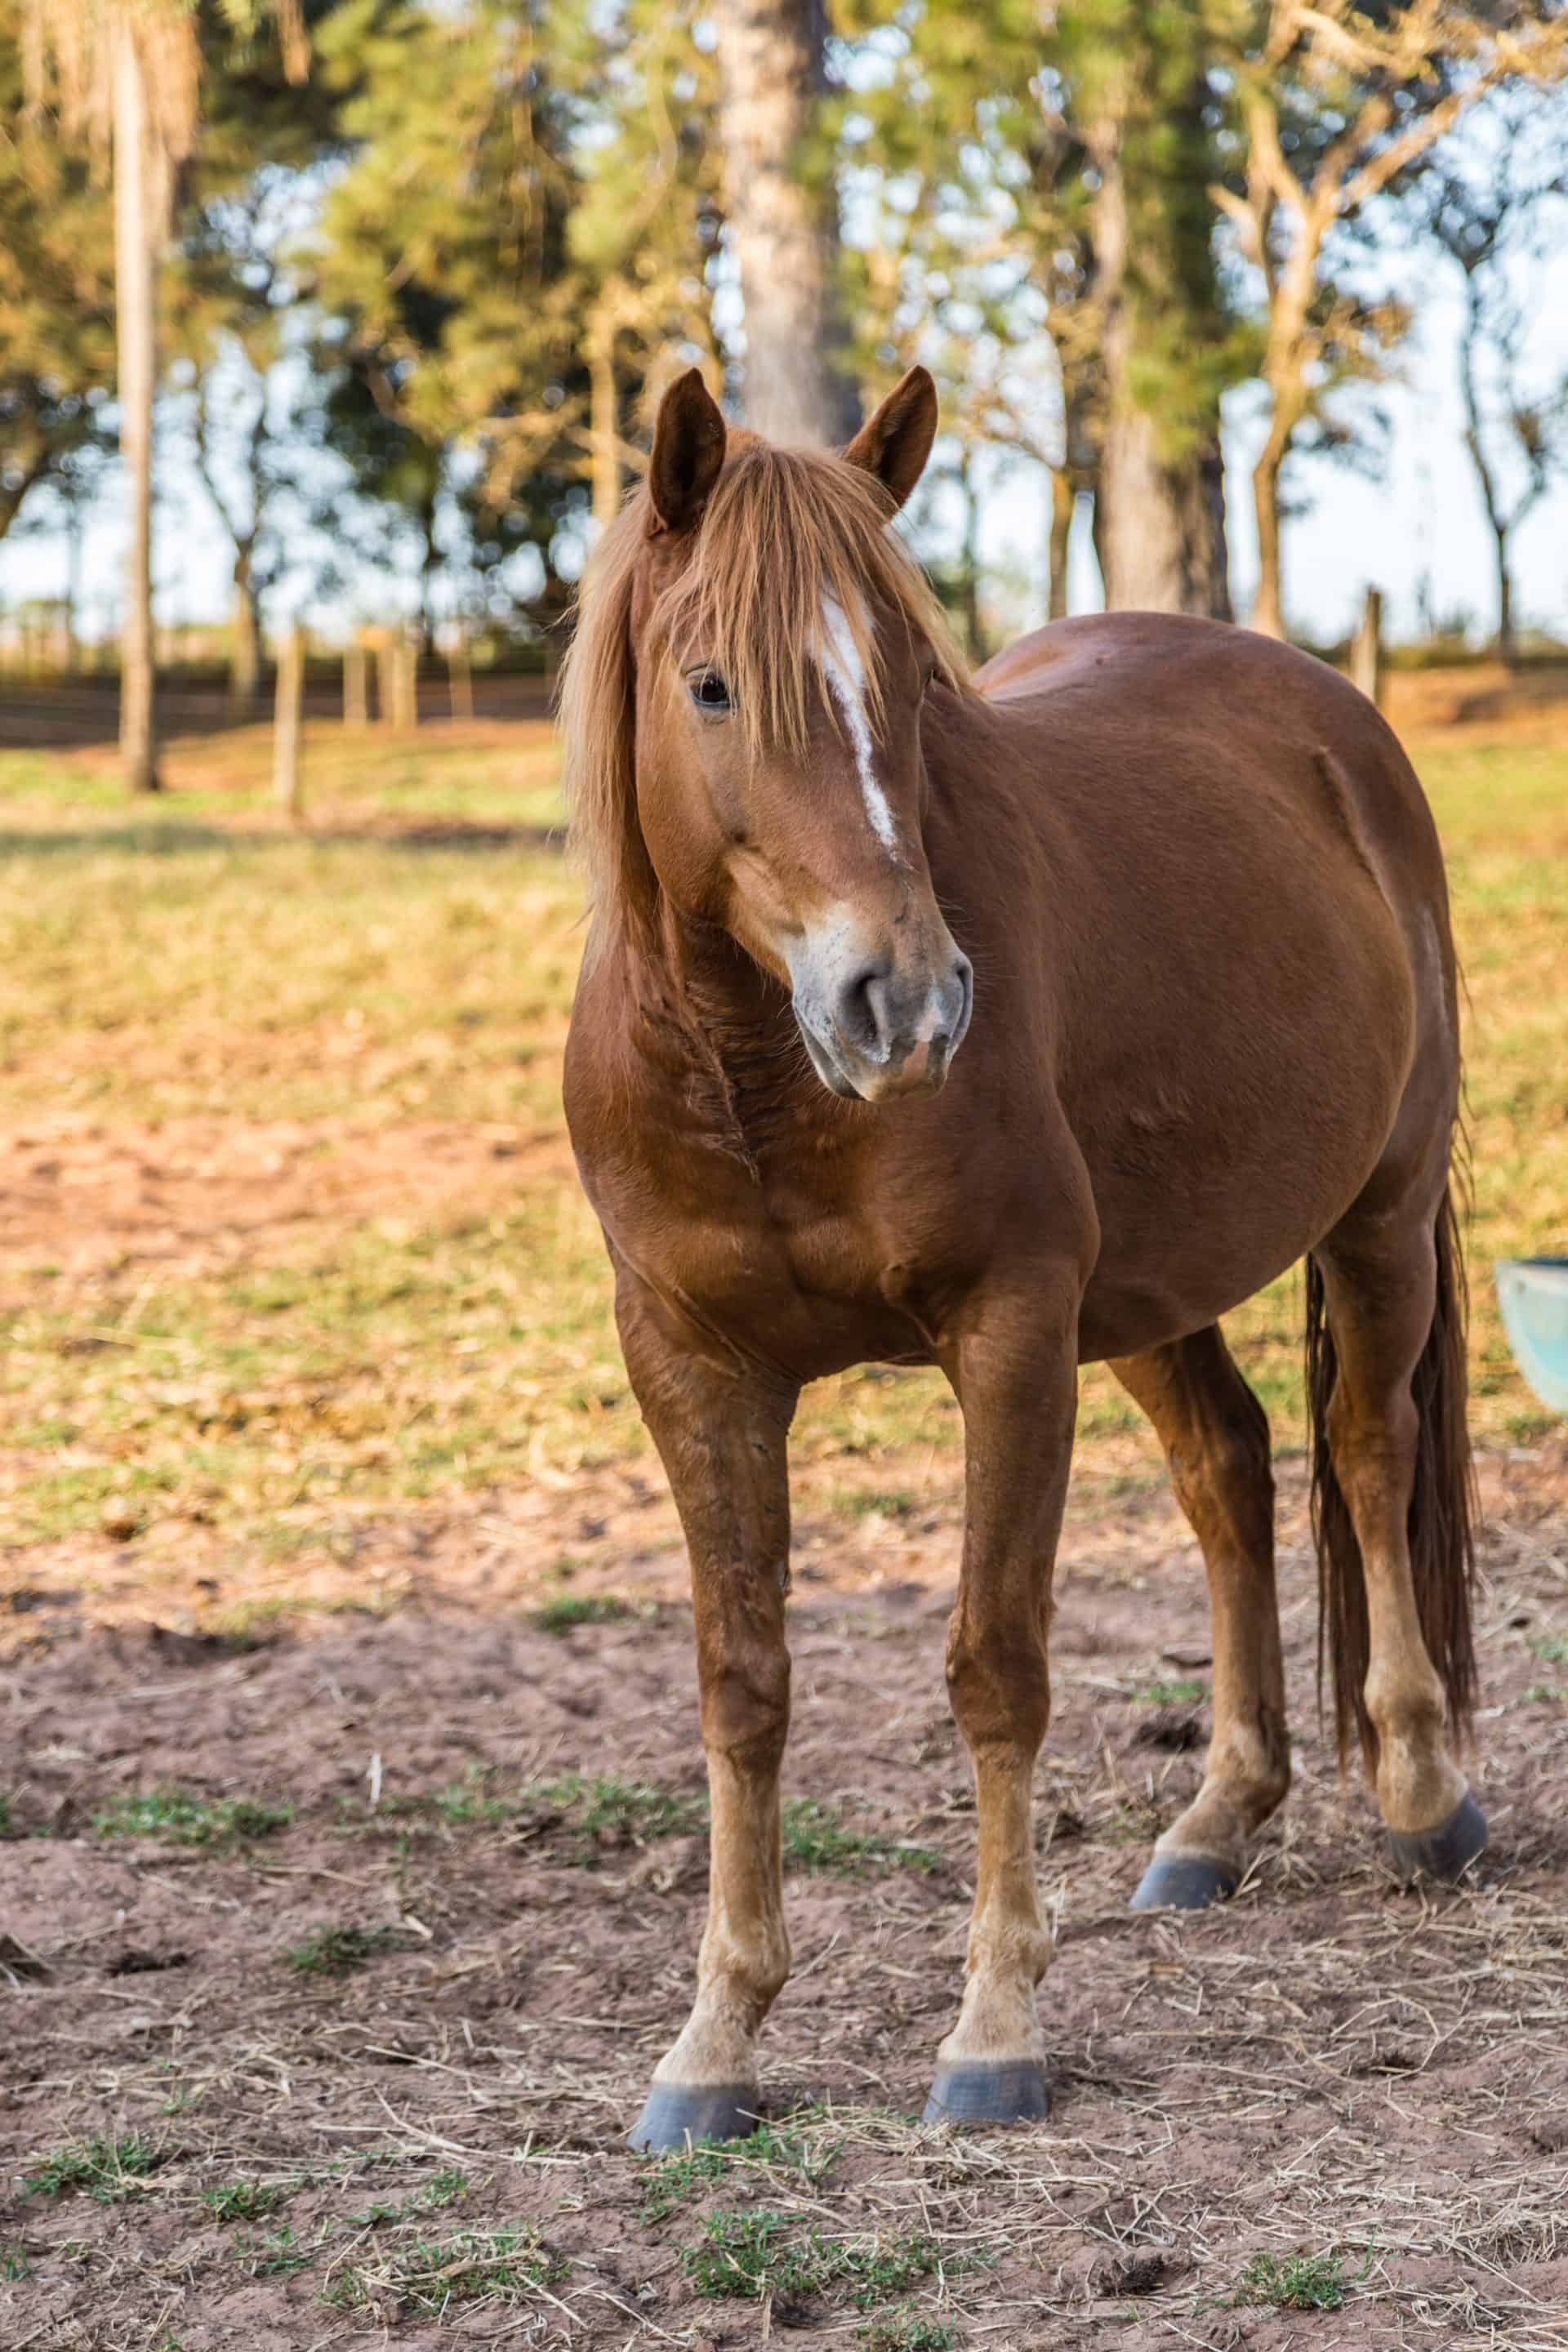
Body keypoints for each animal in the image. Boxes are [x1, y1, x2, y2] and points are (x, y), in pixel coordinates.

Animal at [564, 367, 1486, 2154]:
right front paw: (715, 2042)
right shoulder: (693, 1366)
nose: (905, 1001)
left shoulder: (1008, 1327)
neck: (756, 1077)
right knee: (1227, 1471)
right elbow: (741, 1686)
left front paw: (993, 2027)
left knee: (1365, 1446)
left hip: (1376, 1216)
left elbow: (995, 1668)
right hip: (1146, 1295)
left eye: (916, 688)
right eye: (710, 687)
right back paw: (1220, 1816)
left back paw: (1421, 1792)